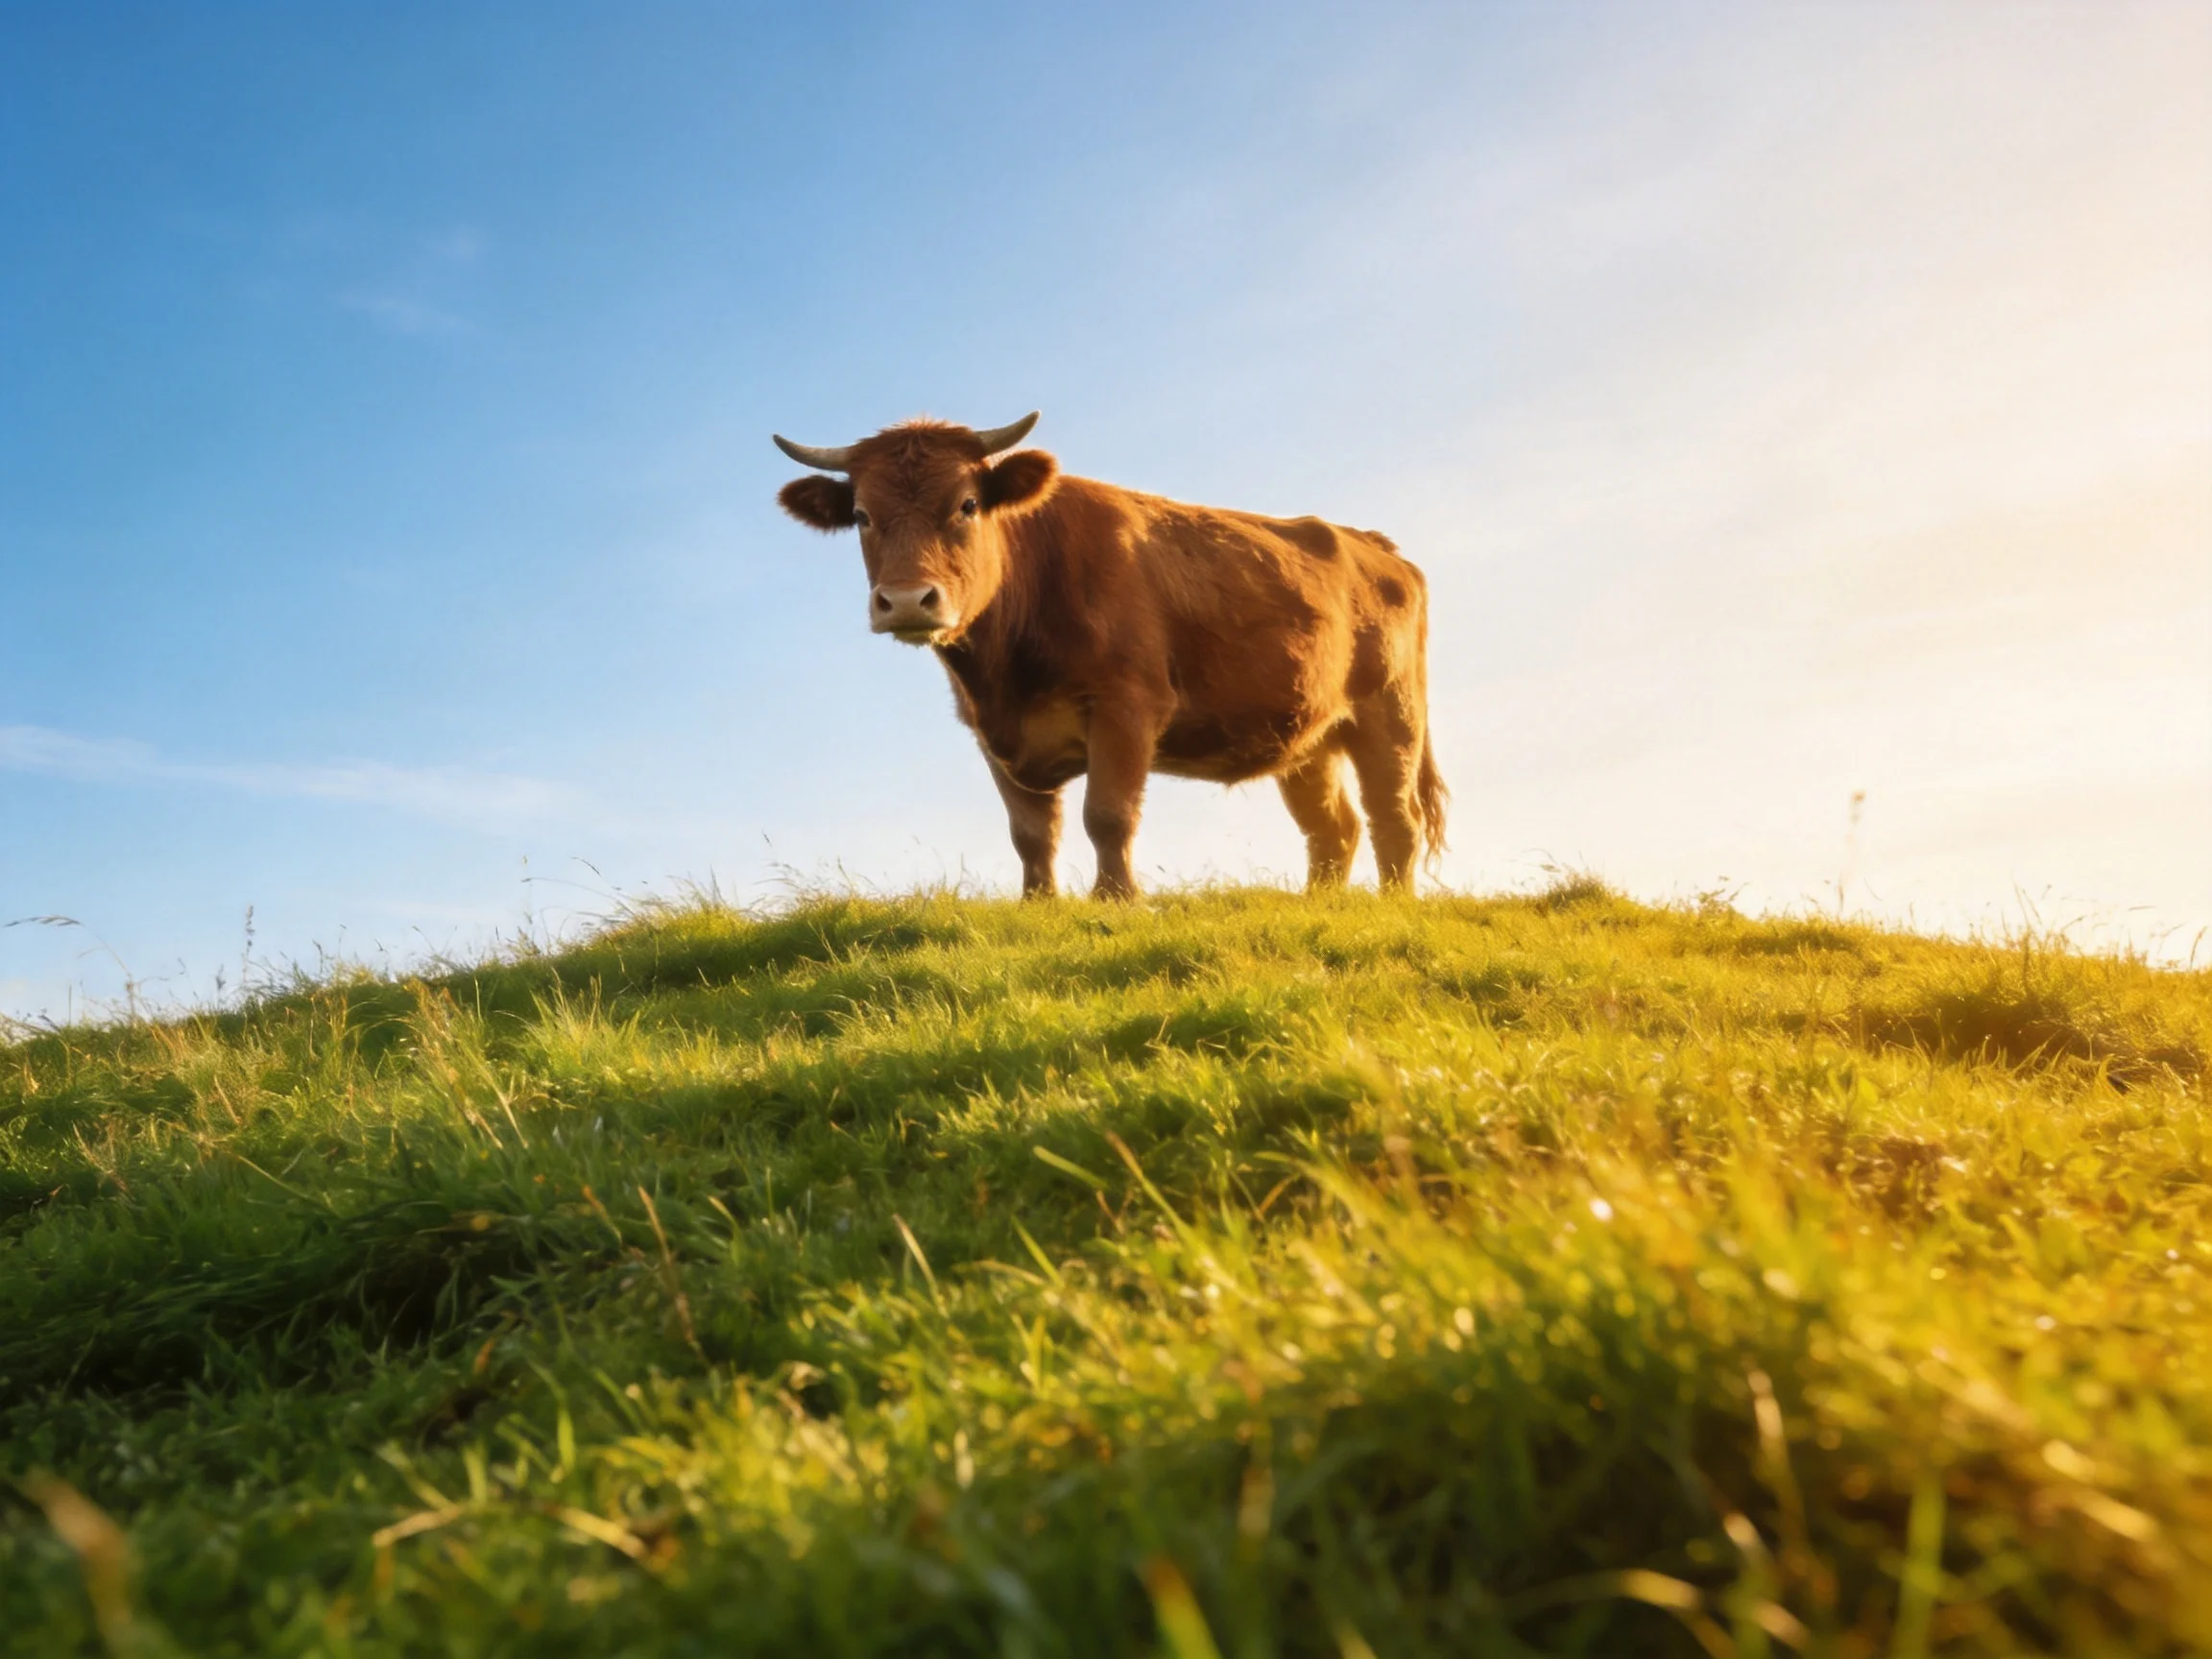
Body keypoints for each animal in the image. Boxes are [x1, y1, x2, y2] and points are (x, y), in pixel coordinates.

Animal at [773, 412, 1445, 899]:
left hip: (1391, 716)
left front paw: (1117, 901)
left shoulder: (1128, 704)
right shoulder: (991, 733)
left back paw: (1391, 906)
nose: (909, 600)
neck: (1005, 672)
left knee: (1394, 819)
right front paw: (1039, 905)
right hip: (1307, 737)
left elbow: (1107, 814)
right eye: (862, 515)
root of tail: (1374, 544)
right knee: (1333, 829)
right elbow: (1030, 833)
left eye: (967, 505)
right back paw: (1320, 907)